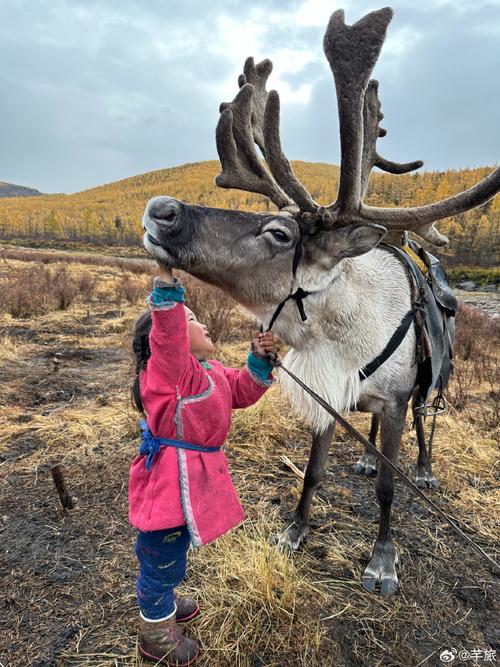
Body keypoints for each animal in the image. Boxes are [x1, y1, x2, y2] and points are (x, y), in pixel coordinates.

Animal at [140, 8, 500, 595]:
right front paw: (295, 529)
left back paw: (423, 467)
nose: (159, 208)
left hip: (436, 375)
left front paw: (382, 560)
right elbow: (313, 471)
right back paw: (365, 458)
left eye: (280, 233)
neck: (342, 337)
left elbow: (388, 488)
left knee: (426, 417)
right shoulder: (331, 395)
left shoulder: (395, 401)